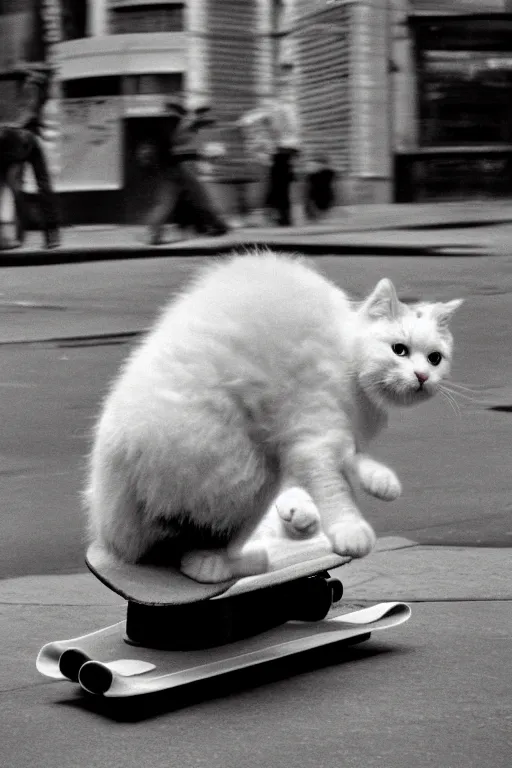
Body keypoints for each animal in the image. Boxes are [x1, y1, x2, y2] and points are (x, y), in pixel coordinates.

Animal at [86, 252, 462, 584]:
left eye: (435, 358)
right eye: (399, 350)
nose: (422, 377)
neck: (348, 358)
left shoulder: (323, 435)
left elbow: (351, 459)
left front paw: (380, 482)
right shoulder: (312, 436)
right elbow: (334, 487)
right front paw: (351, 531)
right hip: (246, 475)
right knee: (201, 562)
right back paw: (250, 560)